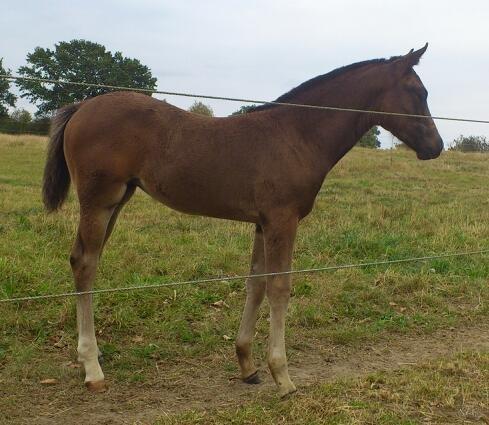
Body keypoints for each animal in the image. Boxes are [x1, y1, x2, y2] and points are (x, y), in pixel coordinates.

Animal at [43, 44, 442, 396]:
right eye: (417, 91)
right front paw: (283, 377)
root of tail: (82, 105)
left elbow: (256, 284)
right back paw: (92, 368)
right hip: (99, 202)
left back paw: (92, 356)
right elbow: (280, 287)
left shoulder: (262, 223)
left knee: (83, 260)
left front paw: (248, 365)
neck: (297, 135)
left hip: (117, 201)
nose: (436, 146)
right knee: (85, 263)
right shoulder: (283, 220)